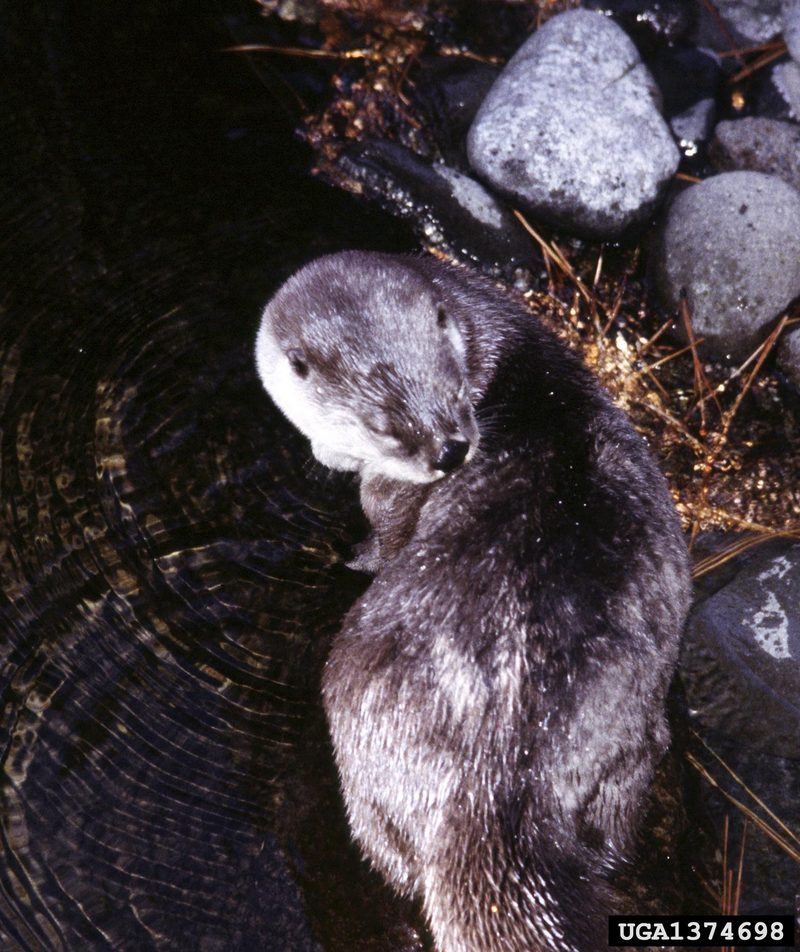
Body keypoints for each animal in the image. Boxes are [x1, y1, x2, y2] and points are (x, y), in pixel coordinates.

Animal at [256, 253, 692, 952]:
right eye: (386, 426)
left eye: (457, 394)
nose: (451, 451)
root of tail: (502, 775)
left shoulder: (389, 497)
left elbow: (380, 540)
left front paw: (347, 556)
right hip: (633, 752)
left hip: (356, 719)